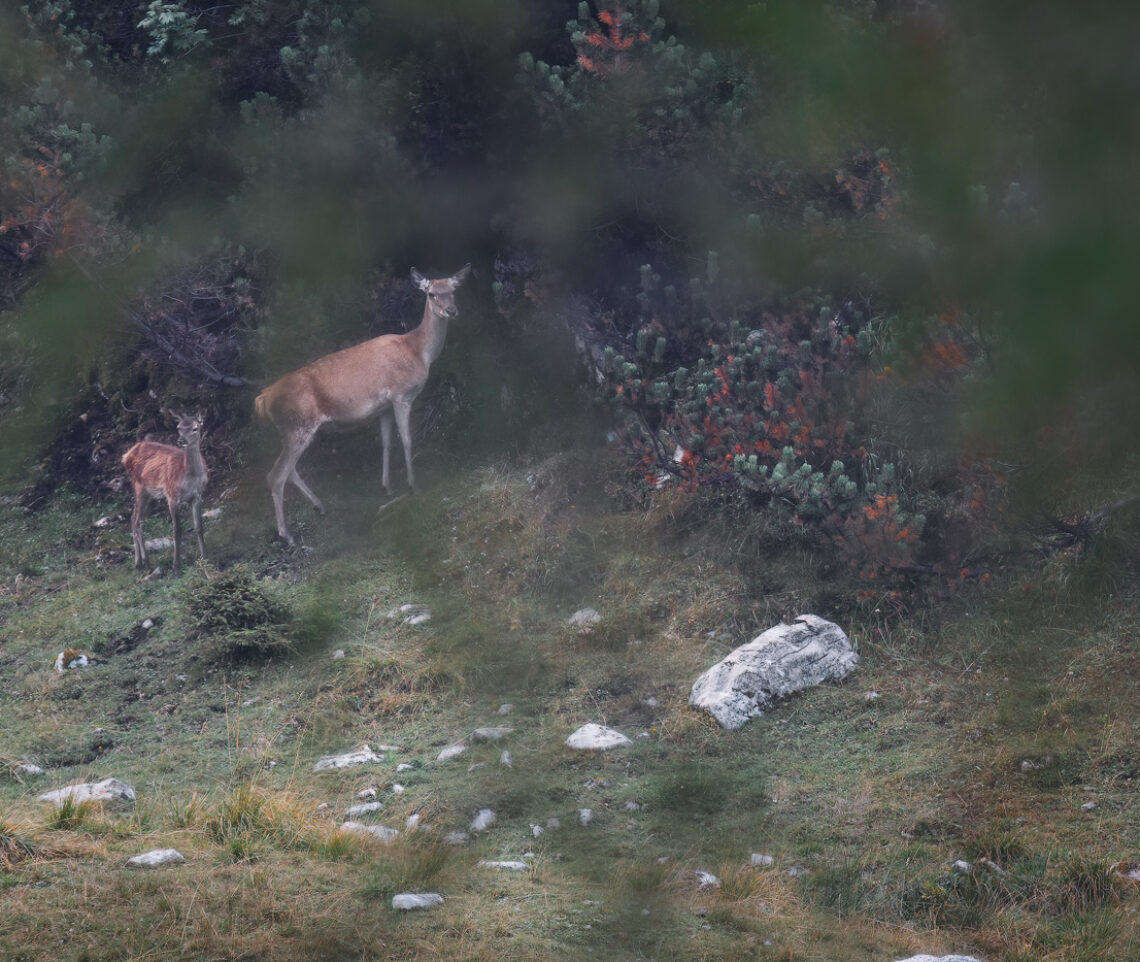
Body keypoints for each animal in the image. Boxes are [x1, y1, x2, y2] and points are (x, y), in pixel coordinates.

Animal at [121, 412, 209, 574]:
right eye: (179, 427)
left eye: (195, 428)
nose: (181, 441)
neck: (190, 477)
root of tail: (126, 455)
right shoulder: (171, 495)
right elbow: (177, 530)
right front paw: (176, 567)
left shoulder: (197, 496)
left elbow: (199, 527)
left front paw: (205, 557)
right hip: (138, 486)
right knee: (136, 520)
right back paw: (146, 562)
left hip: (151, 495)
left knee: (136, 518)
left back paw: (139, 562)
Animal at [255, 263, 471, 544]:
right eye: (432, 293)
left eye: (453, 290)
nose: (451, 311)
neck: (419, 352)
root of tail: (263, 399)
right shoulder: (402, 395)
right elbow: (407, 440)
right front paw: (413, 485)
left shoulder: (384, 407)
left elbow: (387, 443)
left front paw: (387, 486)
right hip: (298, 425)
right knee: (276, 475)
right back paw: (287, 535)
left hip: (290, 431)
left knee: (288, 471)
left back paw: (320, 506)